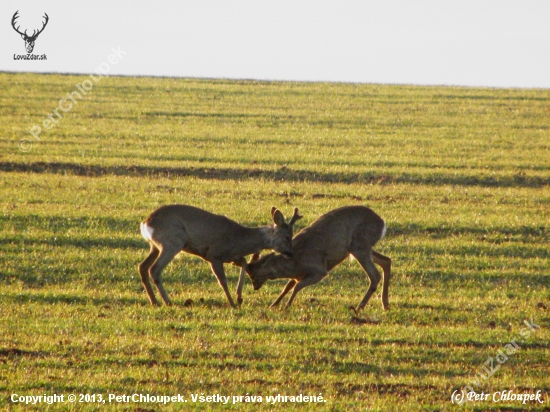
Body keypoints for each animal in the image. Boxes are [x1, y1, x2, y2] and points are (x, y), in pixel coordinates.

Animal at [138, 204, 302, 308]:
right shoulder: (214, 254)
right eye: (287, 237)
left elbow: (244, 262)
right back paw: (167, 301)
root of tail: (145, 223)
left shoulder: (230, 256)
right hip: (172, 241)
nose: (291, 253)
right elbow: (222, 280)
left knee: (143, 267)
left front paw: (239, 297)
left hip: (155, 246)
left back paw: (154, 301)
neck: (238, 238)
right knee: (154, 269)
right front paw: (233, 303)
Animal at [246, 206, 392, 312]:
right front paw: (273, 305)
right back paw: (385, 305)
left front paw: (287, 306)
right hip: (362, 247)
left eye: (253, 274)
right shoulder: (298, 275)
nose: (255, 287)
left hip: (360, 245)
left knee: (375, 275)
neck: (294, 263)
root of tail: (382, 223)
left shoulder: (319, 270)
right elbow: (288, 286)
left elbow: (297, 286)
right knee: (386, 260)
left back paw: (359, 307)